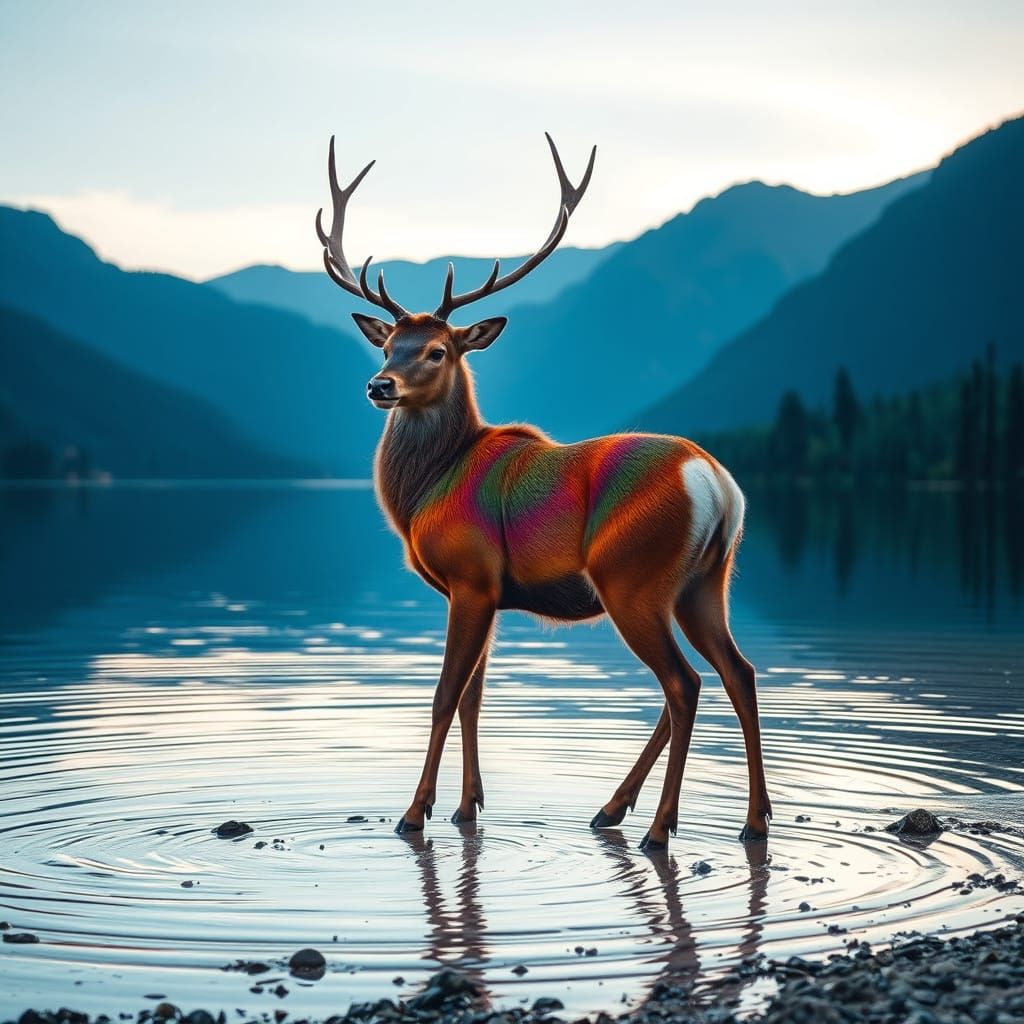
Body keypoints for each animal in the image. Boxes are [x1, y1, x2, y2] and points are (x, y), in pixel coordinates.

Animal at [316, 134, 771, 850]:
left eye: (439, 350)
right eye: (389, 345)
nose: (378, 385)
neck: (424, 491)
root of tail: (717, 484)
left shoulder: (471, 576)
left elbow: (444, 695)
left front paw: (414, 812)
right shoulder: (489, 593)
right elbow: (475, 697)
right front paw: (467, 807)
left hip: (632, 578)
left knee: (683, 683)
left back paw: (657, 826)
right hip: (706, 582)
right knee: (738, 673)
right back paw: (727, 819)